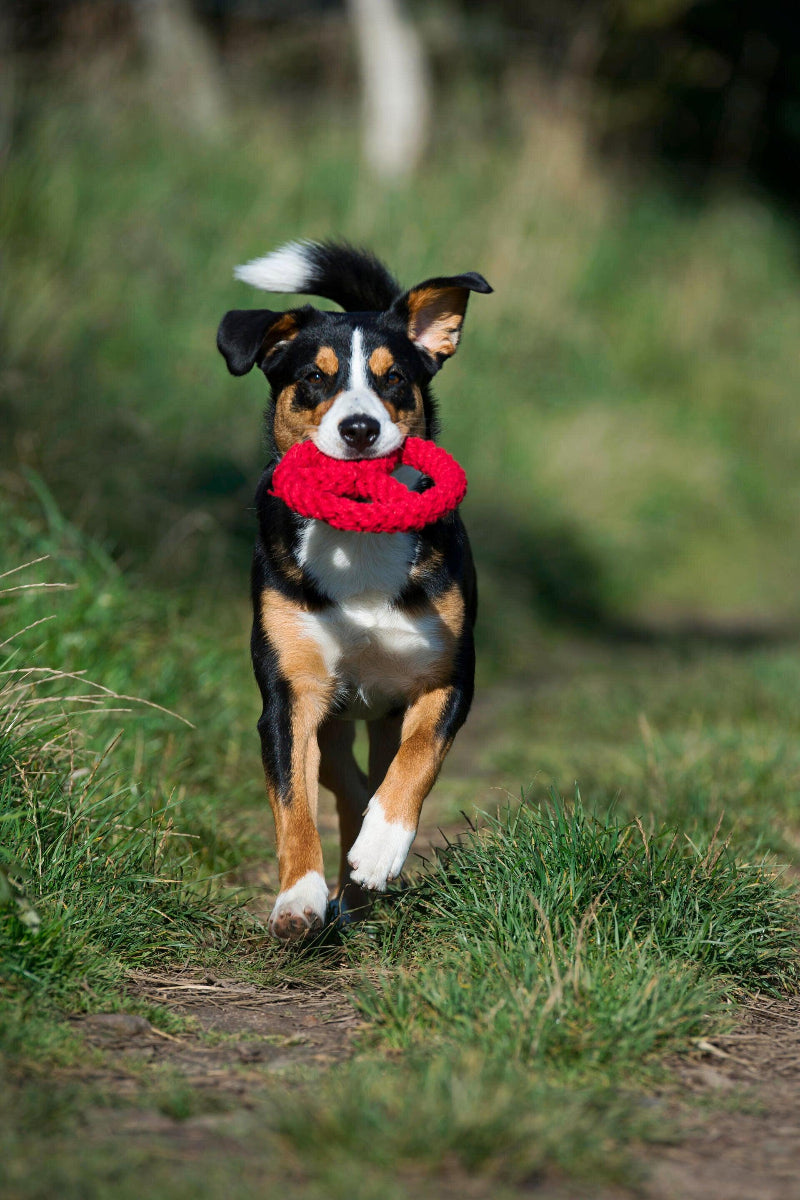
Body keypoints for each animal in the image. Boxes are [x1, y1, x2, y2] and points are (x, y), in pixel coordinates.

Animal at [219, 241, 494, 936]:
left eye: (392, 378)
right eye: (314, 379)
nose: (360, 428)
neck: (359, 539)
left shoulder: (446, 677)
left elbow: (417, 760)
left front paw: (381, 847)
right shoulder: (289, 696)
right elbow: (293, 804)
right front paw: (298, 898)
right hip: (334, 720)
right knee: (345, 785)